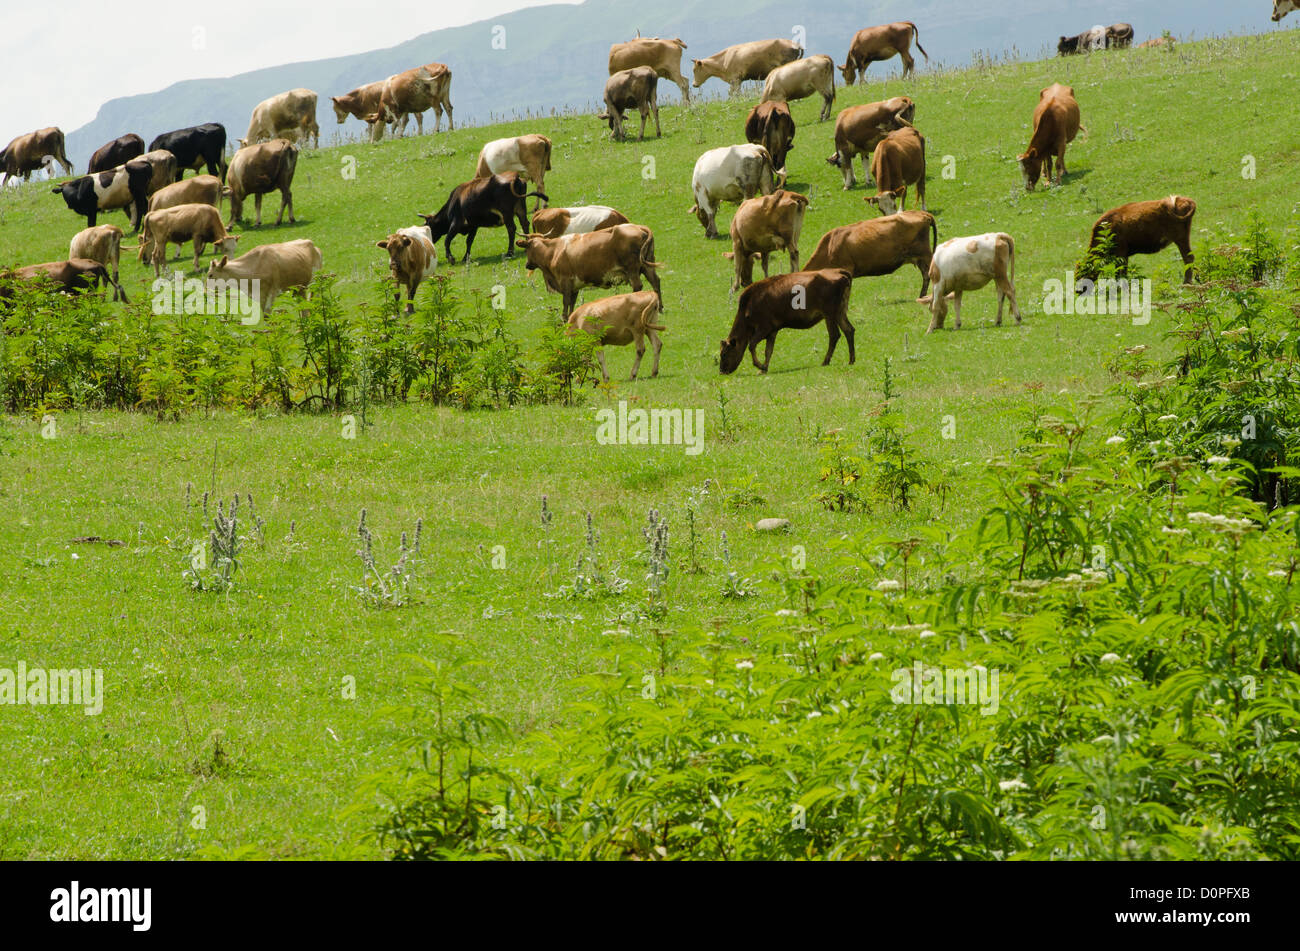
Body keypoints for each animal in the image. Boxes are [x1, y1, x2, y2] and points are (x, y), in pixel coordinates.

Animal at [418, 172, 547, 263]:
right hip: (520, 208)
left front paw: (450, 258)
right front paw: (465, 258)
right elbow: (469, 241)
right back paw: (526, 247)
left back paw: (509, 252)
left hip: (506, 213)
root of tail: (514, 176)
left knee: (511, 228)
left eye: (427, 227)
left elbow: (447, 240)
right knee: (524, 224)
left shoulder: (456, 223)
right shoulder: (473, 225)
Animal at [515, 224, 664, 318]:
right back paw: (660, 308)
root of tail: (638, 226)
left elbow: (565, 301)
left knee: (638, 286)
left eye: (527, 248)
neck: (553, 251)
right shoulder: (574, 286)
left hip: (632, 269)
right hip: (647, 266)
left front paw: (564, 319)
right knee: (655, 282)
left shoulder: (565, 281)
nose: (527, 265)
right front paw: (570, 317)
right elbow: (572, 302)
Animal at [719, 269, 854, 374]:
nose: (721, 371)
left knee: (834, 335)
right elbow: (768, 351)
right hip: (839, 312)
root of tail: (838, 271)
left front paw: (760, 366)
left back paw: (825, 361)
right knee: (849, 330)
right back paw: (851, 360)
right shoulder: (772, 331)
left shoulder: (764, 328)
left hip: (829, 315)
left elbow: (752, 345)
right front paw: (764, 368)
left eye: (724, 353)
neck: (749, 305)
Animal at [805, 210, 937, 299]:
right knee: (926, 275)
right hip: (919, 258)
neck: (829, 247)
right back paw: (922, 296)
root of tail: (921, 213)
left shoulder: (847, 268)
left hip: (925, 254)